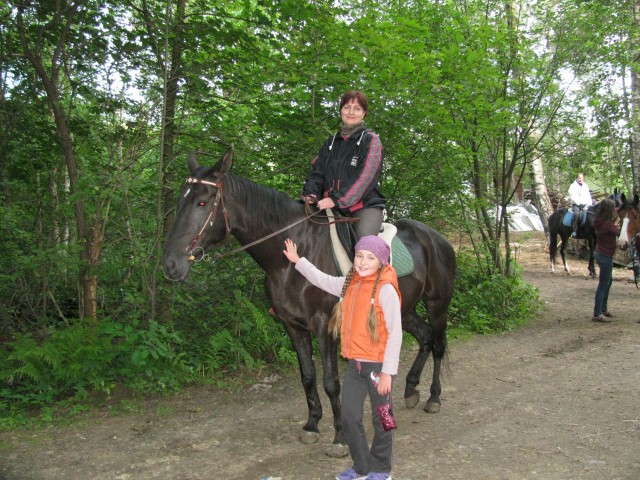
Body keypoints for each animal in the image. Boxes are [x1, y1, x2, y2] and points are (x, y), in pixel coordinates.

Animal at [162, 149, 458, 454]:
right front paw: (312, 424)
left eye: (201, 202)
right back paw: (411, 389)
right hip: (403, 309)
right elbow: (307, 377)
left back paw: (433, 398)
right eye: (181, 201)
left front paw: (340, 437)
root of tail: (436, 237)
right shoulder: (292, 326)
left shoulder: (324, 325)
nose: (170, 264)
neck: (291, 258)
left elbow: (331, 382)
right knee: (424, 336)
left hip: (437, 304)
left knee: (437, 343)